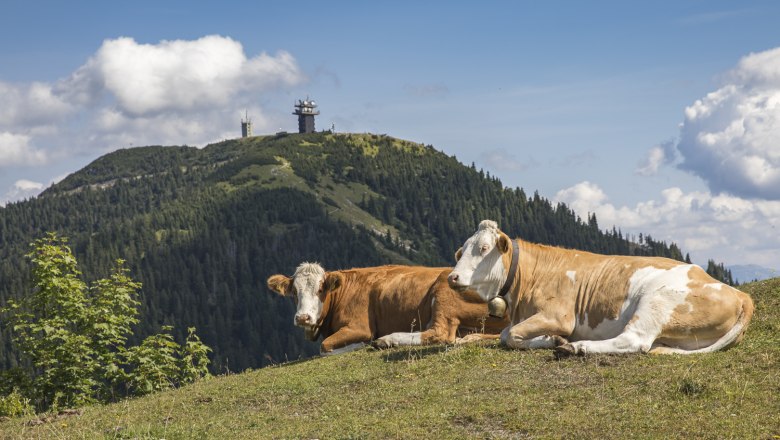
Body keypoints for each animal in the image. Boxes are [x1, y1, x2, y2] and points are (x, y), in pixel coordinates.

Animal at [266, 262, 512, 352]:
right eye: (294, 292)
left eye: (320, 289)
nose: (303, 318)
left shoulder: (359, 327)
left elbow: (325, 347)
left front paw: (358, 345)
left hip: (444, 290)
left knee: (440, 333)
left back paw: (387, 340)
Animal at [444, 218, 756, 356]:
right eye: (461, 250)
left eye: (483, 248)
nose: (452, 277)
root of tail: (740, 293)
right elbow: (504, 334)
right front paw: (550, 339)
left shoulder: (560, 316)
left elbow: (509, 335)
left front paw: (553, 340)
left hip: (655, 301)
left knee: (634, 340)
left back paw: (576, 347)